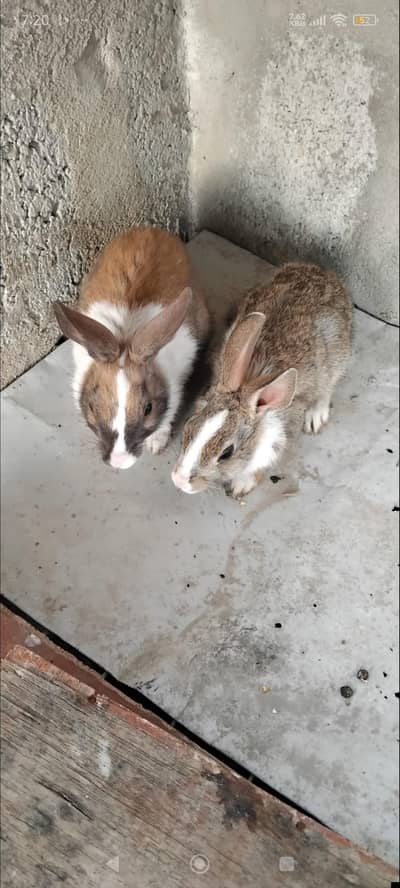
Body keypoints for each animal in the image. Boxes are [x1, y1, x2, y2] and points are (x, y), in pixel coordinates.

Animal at [54, 227, 209, 469]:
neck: (125, 336)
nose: (119, 461)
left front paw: (156, 445)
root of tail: (151, 229)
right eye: (92, 407)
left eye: (148, 409)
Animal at [172, 262, 352, 498]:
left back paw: (315, 417)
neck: (249, 386)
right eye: (189, 424)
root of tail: (320, 271)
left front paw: (241, 486)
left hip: (336, 357)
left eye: (227, 453)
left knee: (327, 388)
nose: (180, 481)